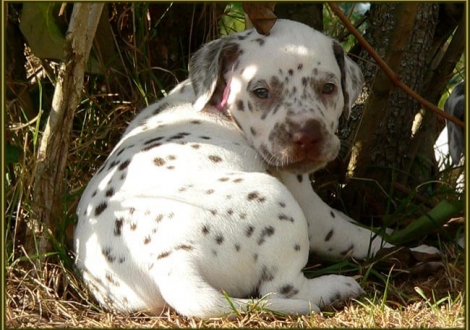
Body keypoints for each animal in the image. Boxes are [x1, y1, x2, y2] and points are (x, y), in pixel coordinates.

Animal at [74, 19, 440, 318]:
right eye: (261, 91)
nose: (306, 136)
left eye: (328, 88)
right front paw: (410, 249)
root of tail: (171, 262)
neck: (214, 101)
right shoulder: (309, 207)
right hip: (277, 200)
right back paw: (336, 287)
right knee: (283, 291)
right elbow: (359, 234)